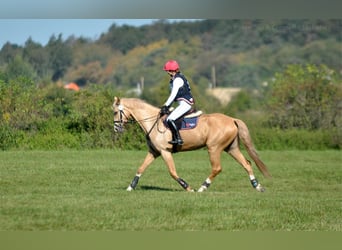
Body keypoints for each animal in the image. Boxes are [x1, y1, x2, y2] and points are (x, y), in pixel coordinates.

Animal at [113, 96, 272, 192]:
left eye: (115, 112)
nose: (116, 129)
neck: (153, 121)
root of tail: (232, 119)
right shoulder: (154, 152)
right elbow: (141, 168)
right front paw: (130, 187)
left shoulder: (165, 152)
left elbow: (172, 172)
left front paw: (187, 187)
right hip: (231, 148)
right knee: (247, 164)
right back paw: (257, 186)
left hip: (214, 148)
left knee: (217, 168)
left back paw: (202, 187)